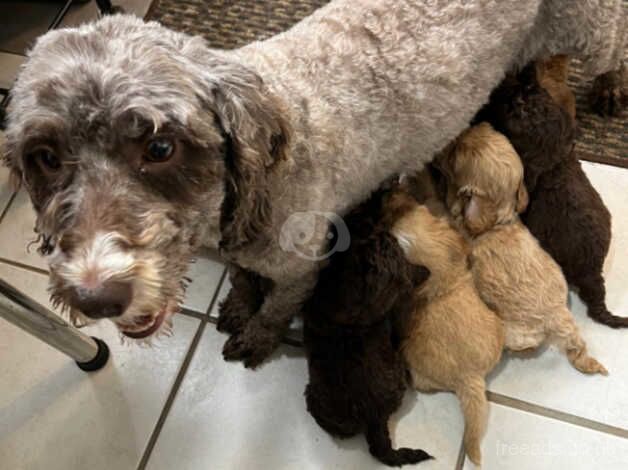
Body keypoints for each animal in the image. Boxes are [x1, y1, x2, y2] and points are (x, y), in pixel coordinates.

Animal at [436, 123, 608, 376]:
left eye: (457, 154)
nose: (479, 123)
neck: (501, 220)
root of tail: (558, 318)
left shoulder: (461, 224)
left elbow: (453, 205)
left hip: (515, 332)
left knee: (527, 346)